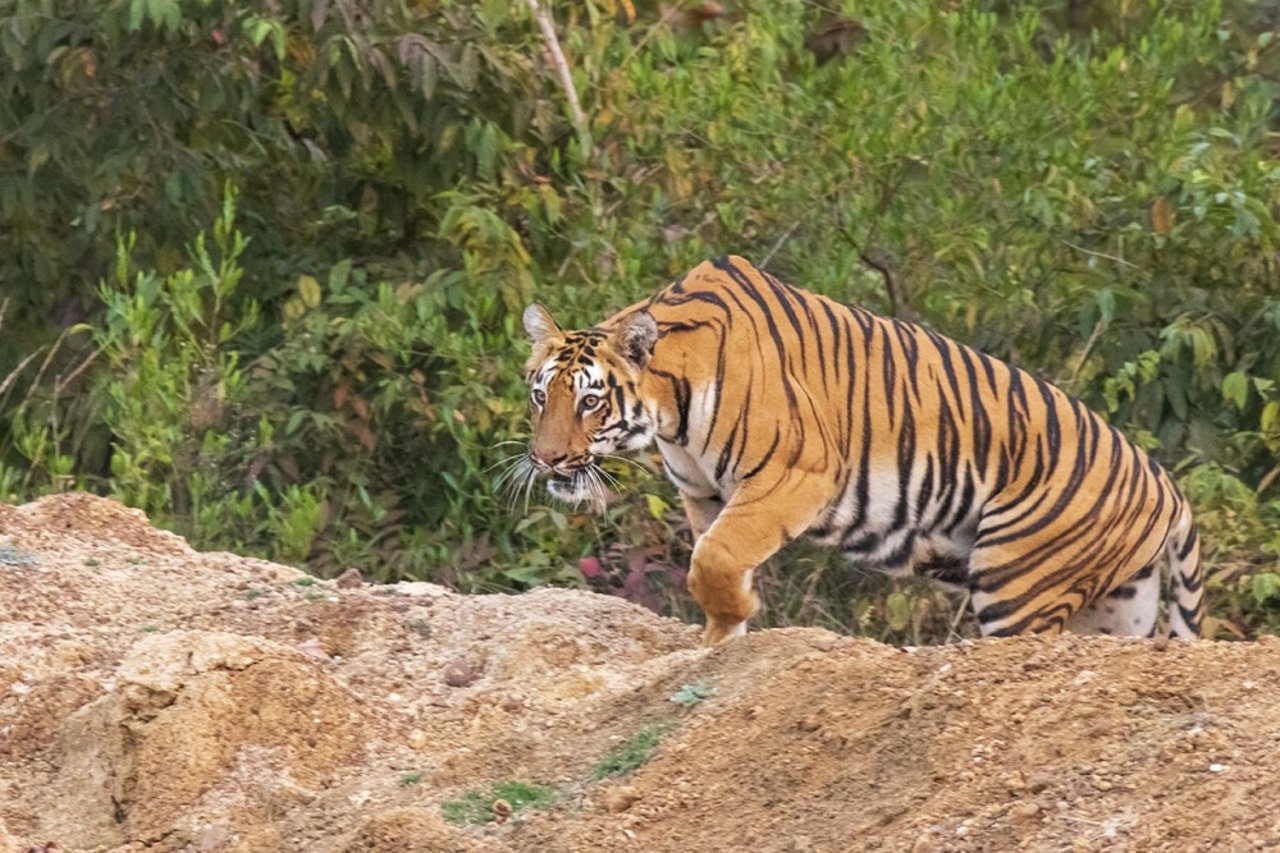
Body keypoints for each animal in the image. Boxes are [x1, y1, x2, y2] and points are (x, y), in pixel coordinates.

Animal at [514, 256, 1203, 640]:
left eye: (590, 402)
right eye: (540, 396)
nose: (547, 460)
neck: (671, 412)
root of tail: (1168, 488)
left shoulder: (797, 472)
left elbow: (715, 559)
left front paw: (738, 614)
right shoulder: (705, 494)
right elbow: (714, 562)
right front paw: (722, 637)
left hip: (1018, 579)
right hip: (1117, 605)